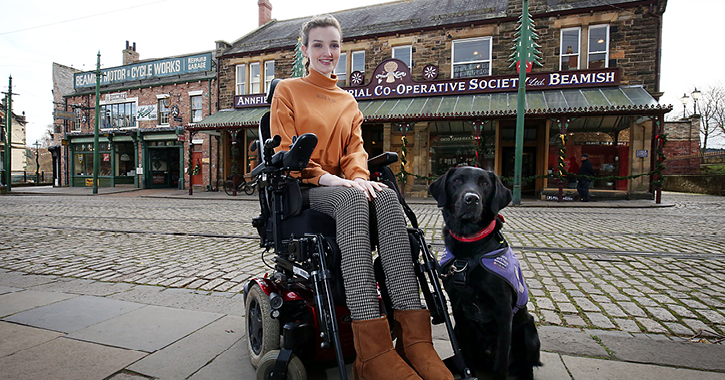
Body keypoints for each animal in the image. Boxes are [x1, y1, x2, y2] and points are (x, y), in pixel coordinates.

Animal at [430, 167, 536, 380]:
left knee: (527, 366)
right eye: (457, 180)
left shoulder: (503, 310)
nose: (472, 199)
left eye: (485, 184)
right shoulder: (458, 307)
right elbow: (467, 353)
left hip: (529, 330)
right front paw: (468, 373)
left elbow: (501, 360)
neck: (469, 249)